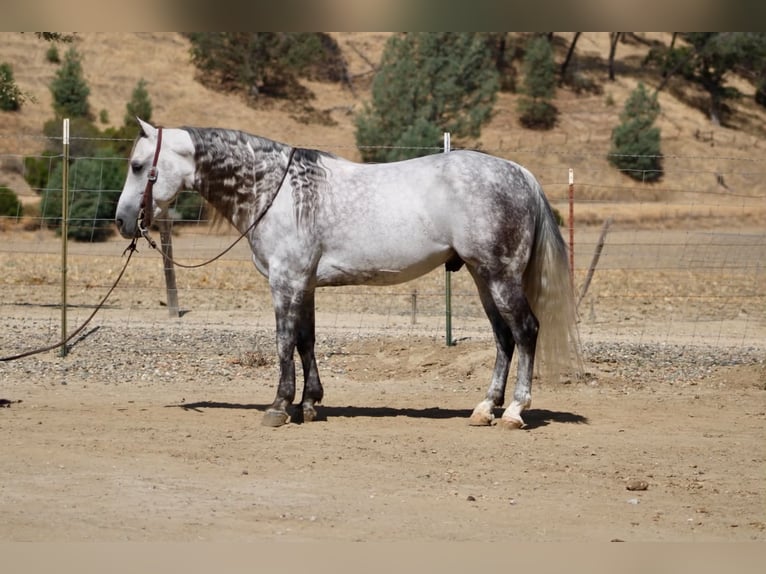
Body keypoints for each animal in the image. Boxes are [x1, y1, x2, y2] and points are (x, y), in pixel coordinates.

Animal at [115, 118, 580, 429]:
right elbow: (306, 341)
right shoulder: (304, 284)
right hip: (484, 278)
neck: (279, 191)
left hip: (500, 276)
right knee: (504, 338)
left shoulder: (286, 282)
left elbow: (284, 342)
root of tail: (520, 174)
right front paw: (309, 404)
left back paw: (515, 411)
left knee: (525, 331)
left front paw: (279, 407)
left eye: (137, 165)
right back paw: (485, 408)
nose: (122, 221)